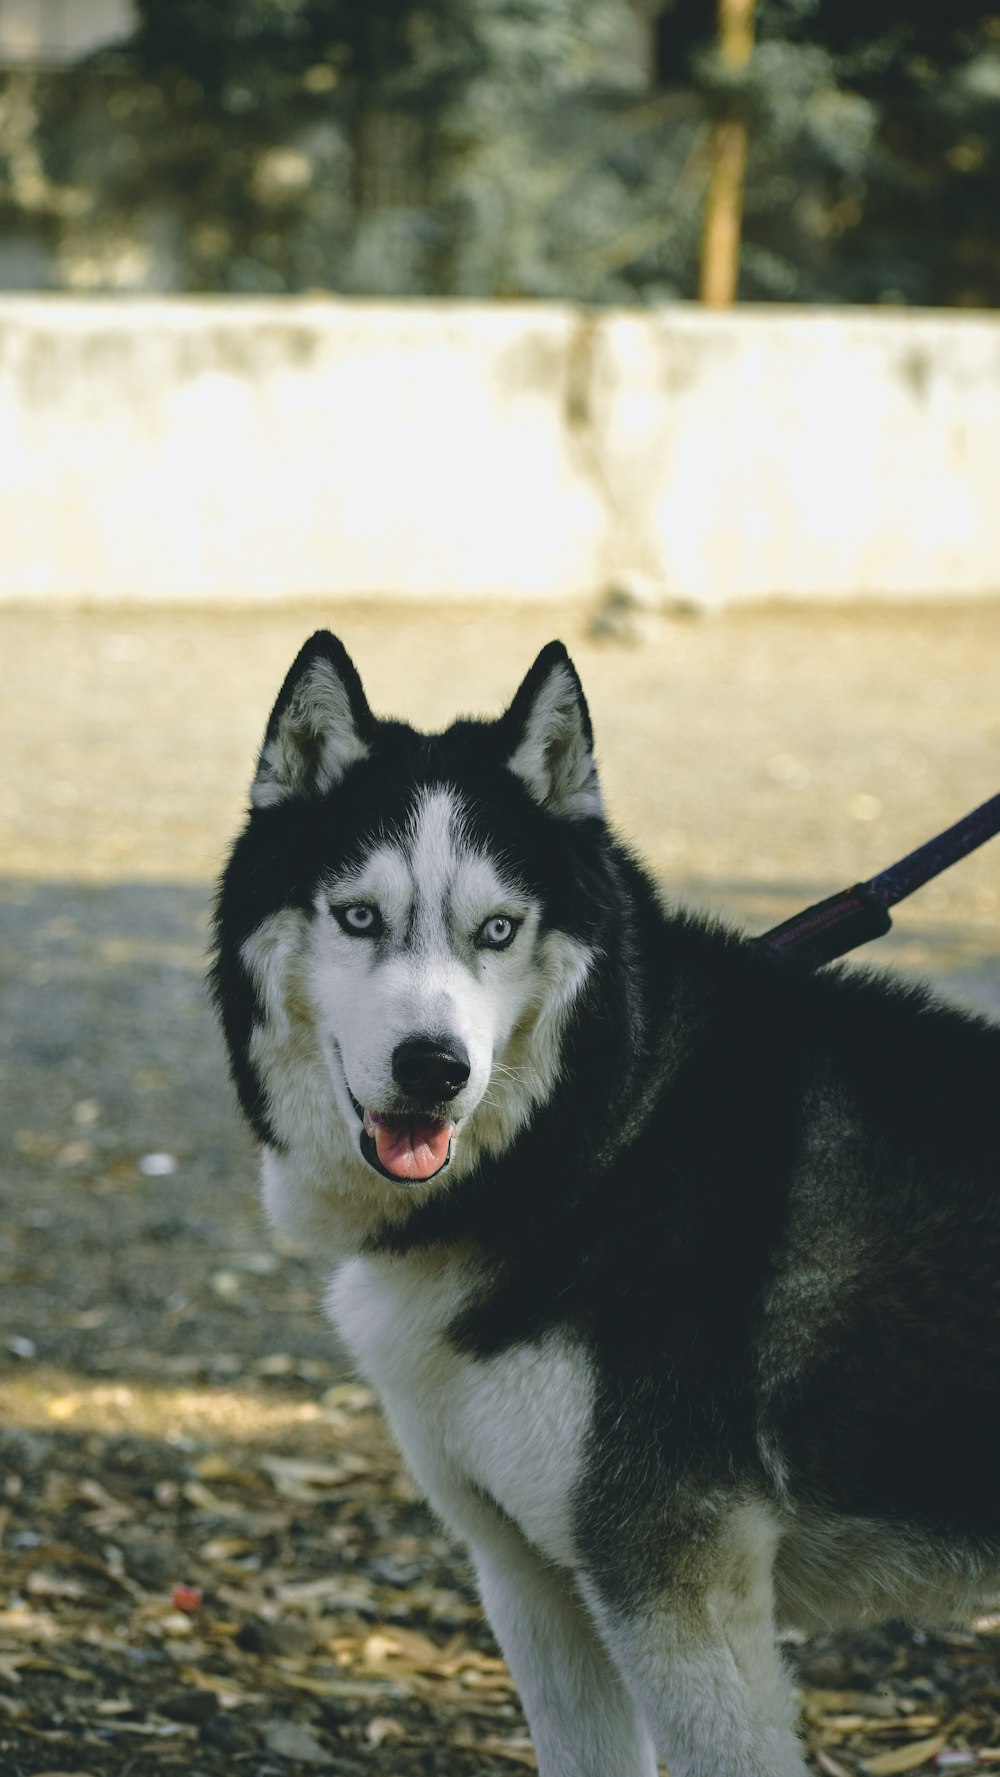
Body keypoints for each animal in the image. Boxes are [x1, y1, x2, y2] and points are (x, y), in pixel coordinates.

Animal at [213, 636, 1000, 1777]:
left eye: (498, 929)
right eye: (358, 916)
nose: (434, 1069)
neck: (592, 1133)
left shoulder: (677, 1598)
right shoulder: (531, 1577)